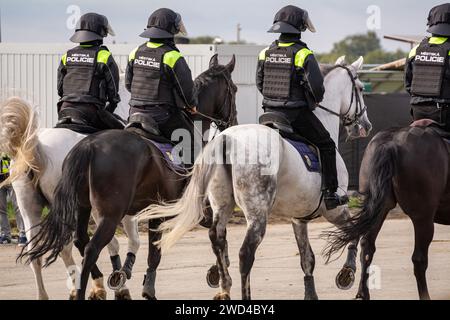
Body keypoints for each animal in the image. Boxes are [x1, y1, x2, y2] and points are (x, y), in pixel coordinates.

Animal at [0, 77, 140, 300]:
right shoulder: (119, 211)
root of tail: (38, 147)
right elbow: (127, 242)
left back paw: (50, 293)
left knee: (38, 252)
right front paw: (119, 285)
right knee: (68, 245)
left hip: (29, 207)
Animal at [23, 54, 239, 300]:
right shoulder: (191, 209)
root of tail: (88, 146)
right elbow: (212, 237)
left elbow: (155, 249)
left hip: (71, 207)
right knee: (89, 248)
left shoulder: (156, 211)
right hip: (109, 215)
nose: (233, 122)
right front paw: (220, 277)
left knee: (71, 242)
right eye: (234, 89)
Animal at [138, 55, 372, 300]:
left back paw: (224, 287)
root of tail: (227, 139)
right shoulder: (335, 210)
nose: (366, 125)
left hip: (222, 206)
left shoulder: (299, 219)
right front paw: (347, 272)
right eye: (359, 88)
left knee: (217, 238)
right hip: (257, 215)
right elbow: (356, 232)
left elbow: (307, 259)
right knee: (245, 254)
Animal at [324, 121, 450, 298]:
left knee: (367, 248)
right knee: (419, 259)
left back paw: (363, 293)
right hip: (423, 218)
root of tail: (390, 143)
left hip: (379, 208)